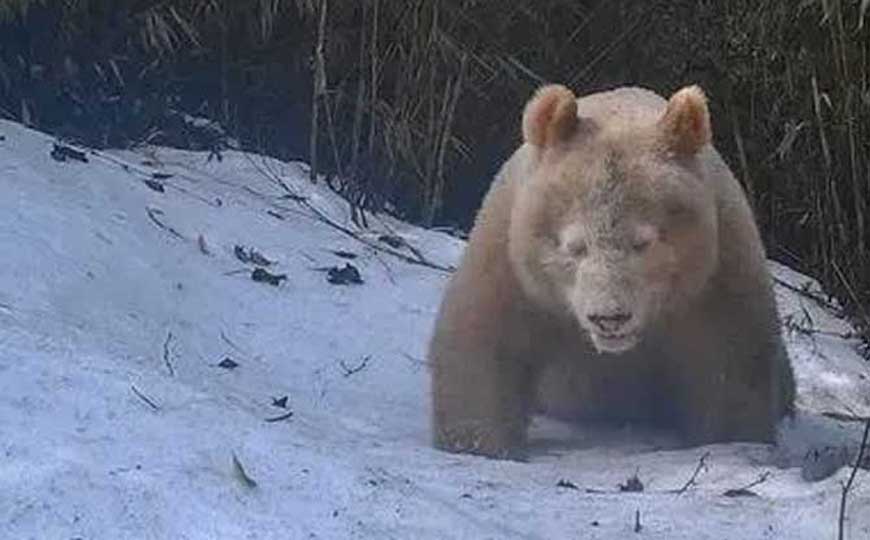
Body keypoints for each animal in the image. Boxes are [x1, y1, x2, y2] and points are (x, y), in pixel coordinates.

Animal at [428, 83, 796, 459]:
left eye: (642, 243)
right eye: (575, 246)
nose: (609, 318)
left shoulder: (713, 278)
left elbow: (729, 367)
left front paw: (732, 443)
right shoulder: (514, 262)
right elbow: (484, 342)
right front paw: (480, 443)